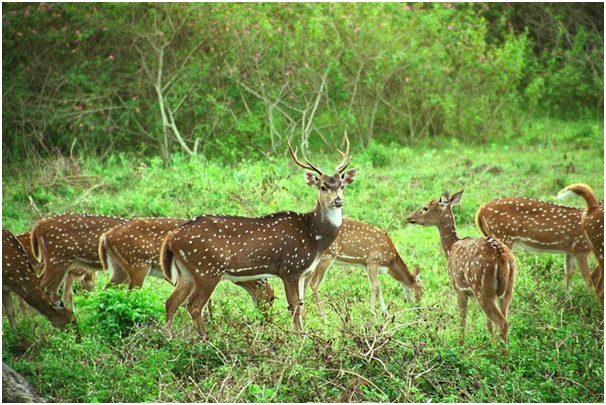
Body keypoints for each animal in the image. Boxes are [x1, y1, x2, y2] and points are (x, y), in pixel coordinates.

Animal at [100, 218, 276, 306]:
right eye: (272, 299)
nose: (265, 318)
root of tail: (106, 237)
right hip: (138, 264)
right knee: (130, 294)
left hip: (119, 269)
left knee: (106, 290)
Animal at [162, 134, 358, 336]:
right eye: (323, 186)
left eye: (342, 185)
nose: (338, 201)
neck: (315, 237)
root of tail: (171, 238)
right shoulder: (290, 268)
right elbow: (294, 306)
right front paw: (298, 337)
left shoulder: (304, 272)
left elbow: (301, 306)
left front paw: (303, 334)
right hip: (208, 268)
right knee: (193, 306)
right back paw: (205, 338)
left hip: (186, 271)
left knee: (171, 302)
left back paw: (169, 337)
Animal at [408, 189, 516, 344]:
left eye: (425, 208)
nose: (409, 218)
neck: (451, 248)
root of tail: (502, 259)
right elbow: (488, 325)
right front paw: (491, 343)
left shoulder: (458, 288)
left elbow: (462, 321)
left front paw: (460, 345)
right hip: (508, 289)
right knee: (502, 320)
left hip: (482, 290)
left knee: (502, 323)